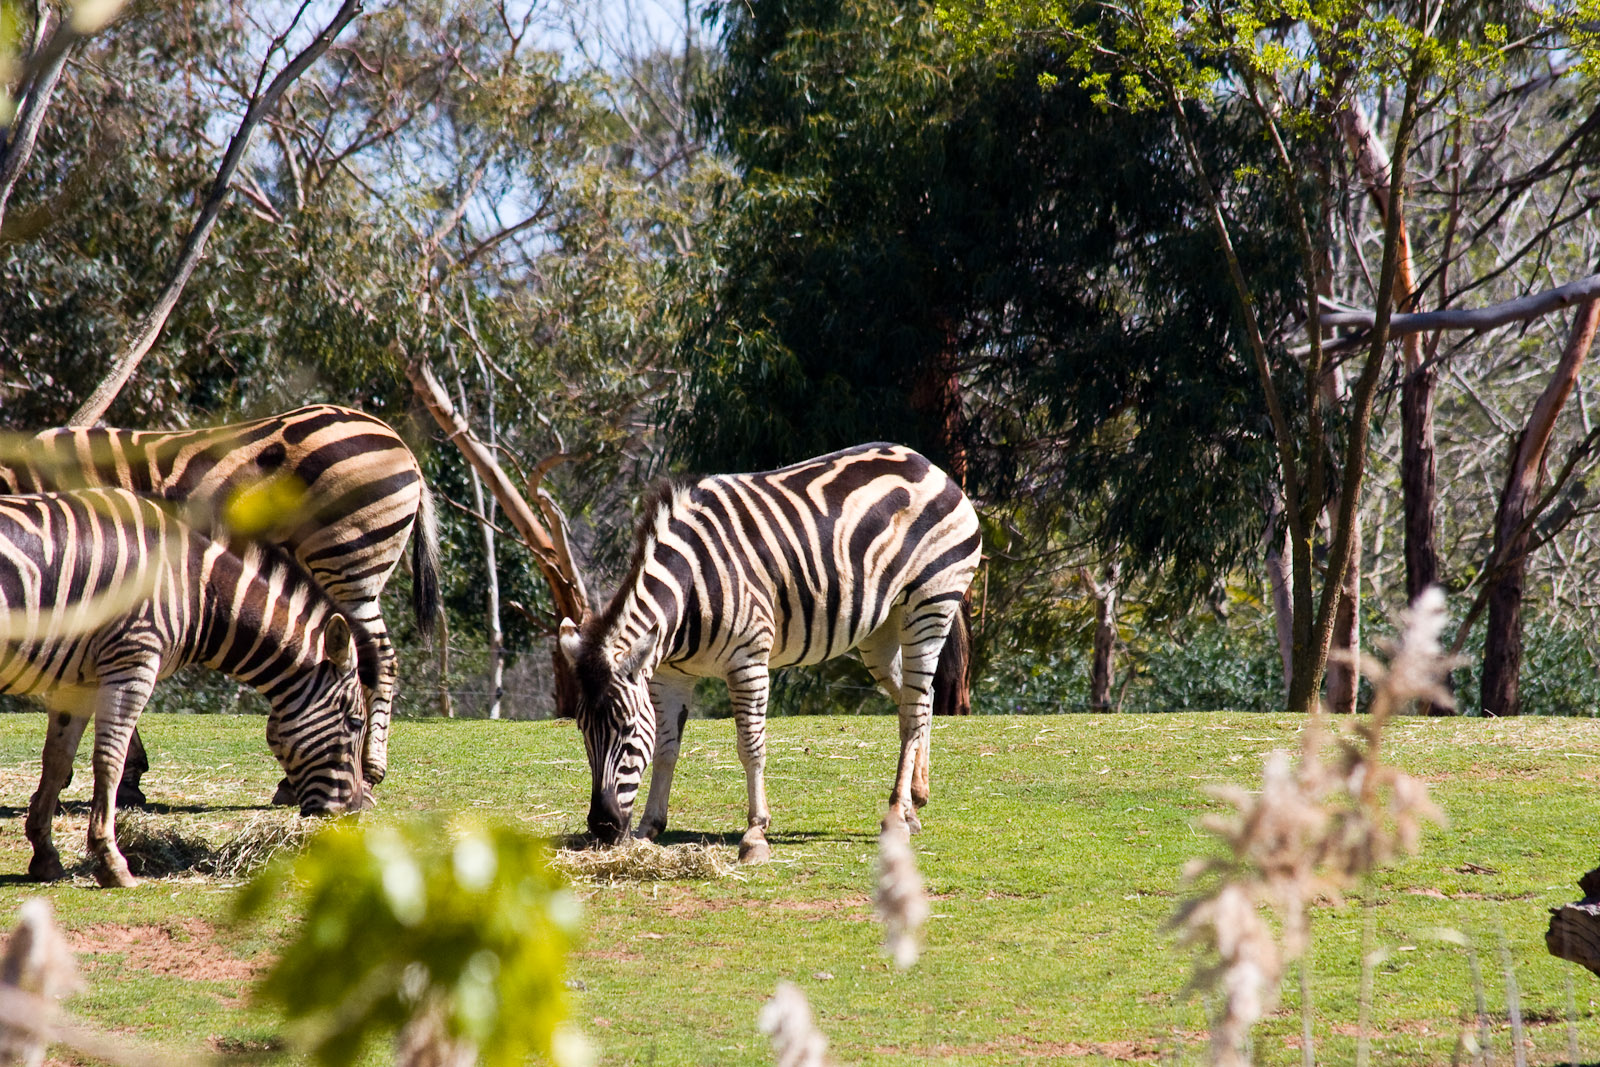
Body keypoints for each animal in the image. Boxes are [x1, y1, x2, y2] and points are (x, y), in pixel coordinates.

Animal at [2, 489, 374, 889]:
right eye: (355, 723)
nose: (353, 816)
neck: (197, 587)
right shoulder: (133, 658)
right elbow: (109, 762)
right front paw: (112, 863)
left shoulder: (78, 680)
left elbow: (56, 761)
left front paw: (45, 856)